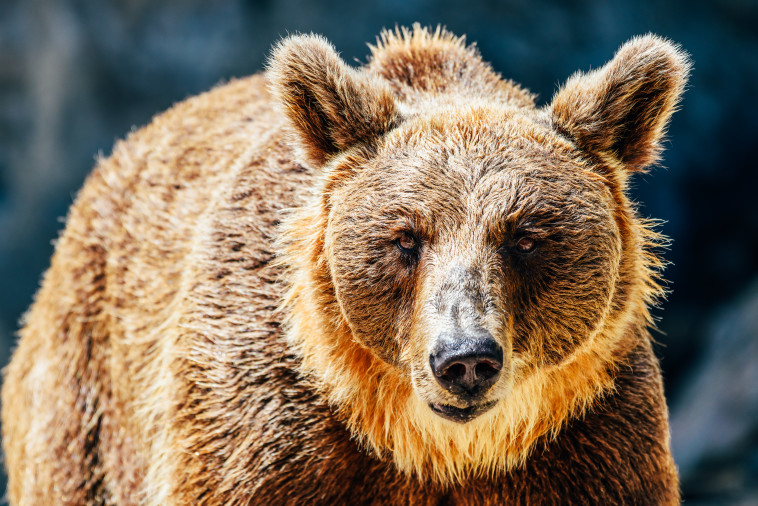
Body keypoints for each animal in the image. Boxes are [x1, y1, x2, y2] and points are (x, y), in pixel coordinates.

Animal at [1, 24, 688, 506]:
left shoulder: (591, 442)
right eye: (406, 237)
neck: (436, 451)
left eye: (524, 237)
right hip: (88, 399)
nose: (465, 359)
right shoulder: (262, 433)